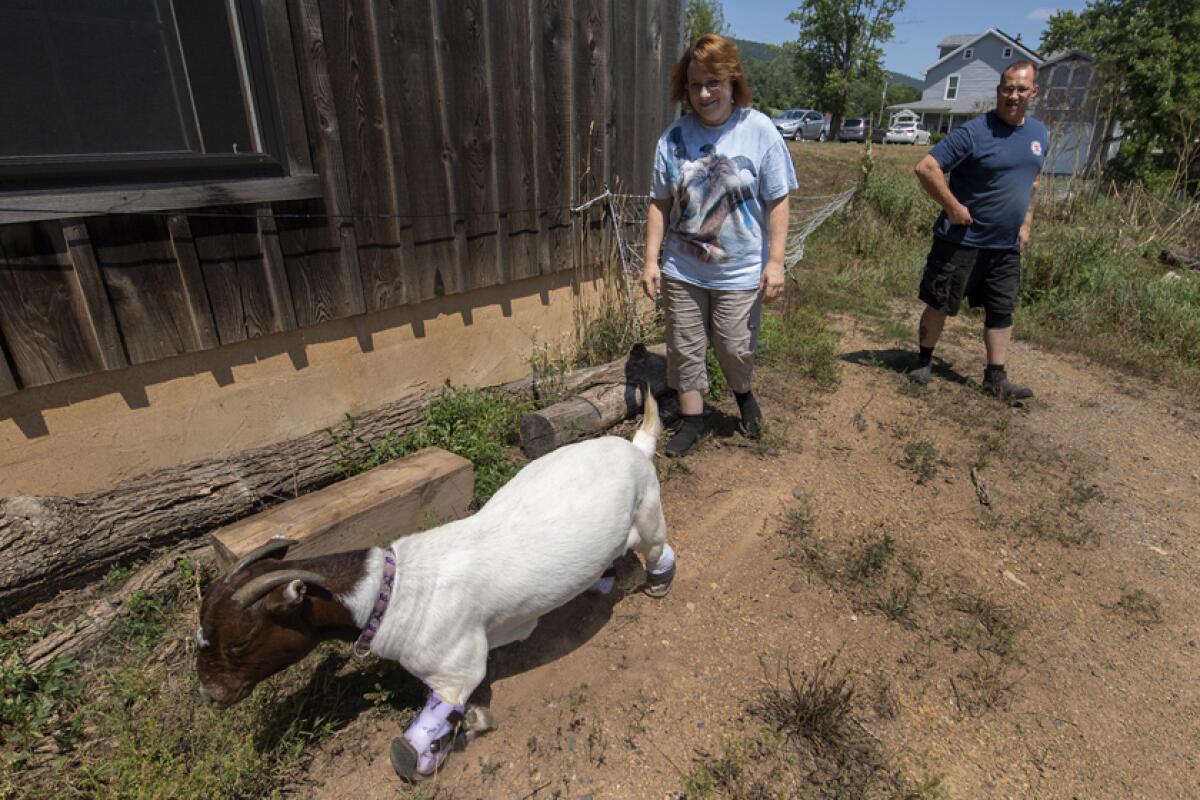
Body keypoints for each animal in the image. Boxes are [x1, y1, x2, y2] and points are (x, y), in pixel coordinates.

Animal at [192, 393, 672, 782]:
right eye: (202, 635)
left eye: (239, 643)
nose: (211, 695)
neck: (392, 590)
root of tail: (633, 447)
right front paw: (470, 723)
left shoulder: (456, 670)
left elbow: (438, 714)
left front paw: (437, 744)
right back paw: (603, 580)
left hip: (648, 510)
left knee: (657, 545)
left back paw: (658, 581)